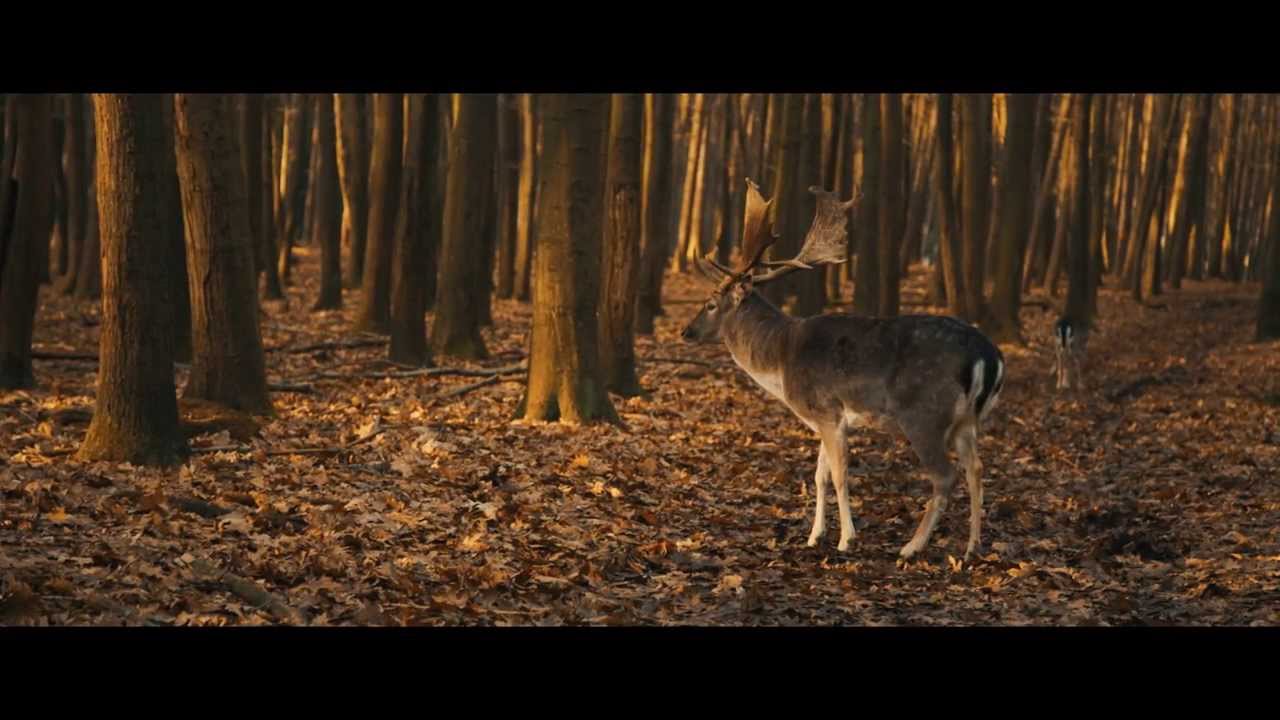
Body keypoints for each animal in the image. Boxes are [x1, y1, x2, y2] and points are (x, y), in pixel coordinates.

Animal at [680, 179, 1005, 561]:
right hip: (966, 421)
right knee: (976, 469)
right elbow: (819, 475)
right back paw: (972, 546)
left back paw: (911, 547)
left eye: (710, 304)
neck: (781, 360)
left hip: (924, 415)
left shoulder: (826, 409)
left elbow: (838, 475)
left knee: (945, 475)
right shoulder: (826, 419)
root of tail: (988, 355)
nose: (685, 332)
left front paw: (846, 539)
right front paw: (814, 536)